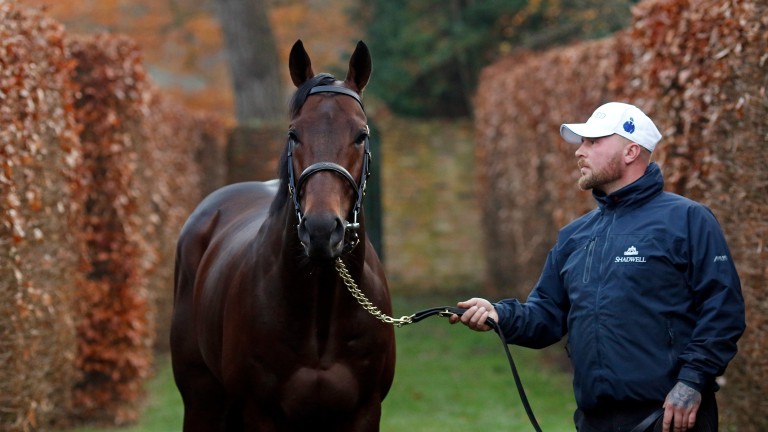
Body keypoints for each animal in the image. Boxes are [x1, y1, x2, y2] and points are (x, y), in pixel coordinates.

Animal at [170, 38, 396, 430]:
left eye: (361, 134)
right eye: (294, 133)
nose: (322, 230)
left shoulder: (365, 412)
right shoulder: (260, 413)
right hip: (202, 401)